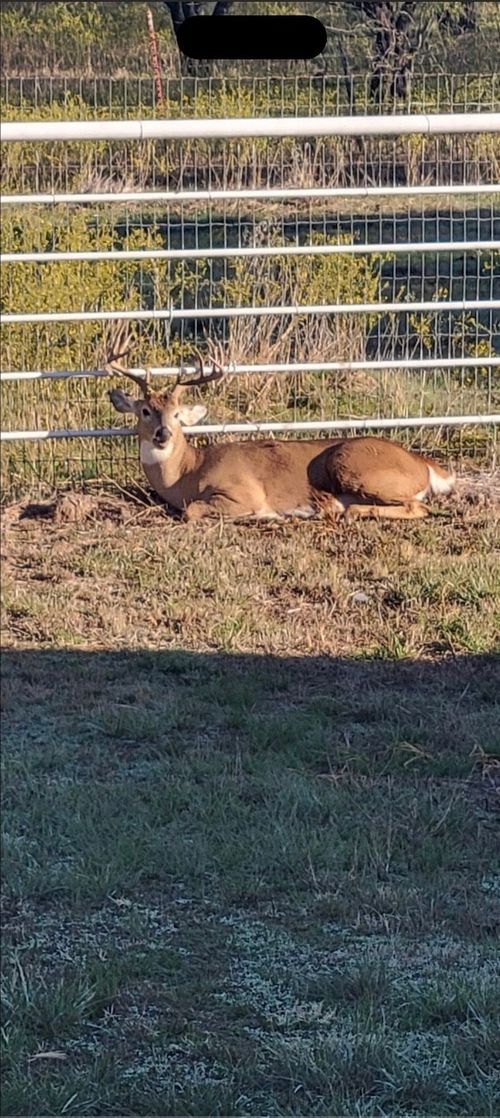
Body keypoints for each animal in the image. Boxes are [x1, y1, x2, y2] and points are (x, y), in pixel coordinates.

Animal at [104, 324, 456, 523]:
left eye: (177, 414)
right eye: (145, 411)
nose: (163, 434)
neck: (187, 474)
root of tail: (424, 464)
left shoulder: (242, 491)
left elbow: (191, 512)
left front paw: (267, 517)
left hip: (355, 467)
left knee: (417, 507)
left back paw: (346, 512)